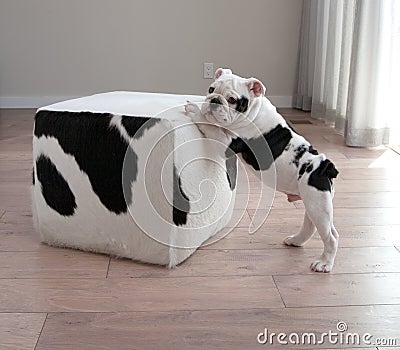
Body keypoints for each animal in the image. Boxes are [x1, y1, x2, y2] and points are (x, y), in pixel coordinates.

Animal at [184, 67, 338, 270]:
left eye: (232, 100)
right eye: (211, 89)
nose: (214, 100)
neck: (253, 111)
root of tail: (325, 167)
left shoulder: (227, 142)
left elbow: (209, 125)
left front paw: (193, 110)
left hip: (317, 204)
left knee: (331, 237)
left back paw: (324, 263)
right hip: (315, 203)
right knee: (314, 226)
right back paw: (296, 241)